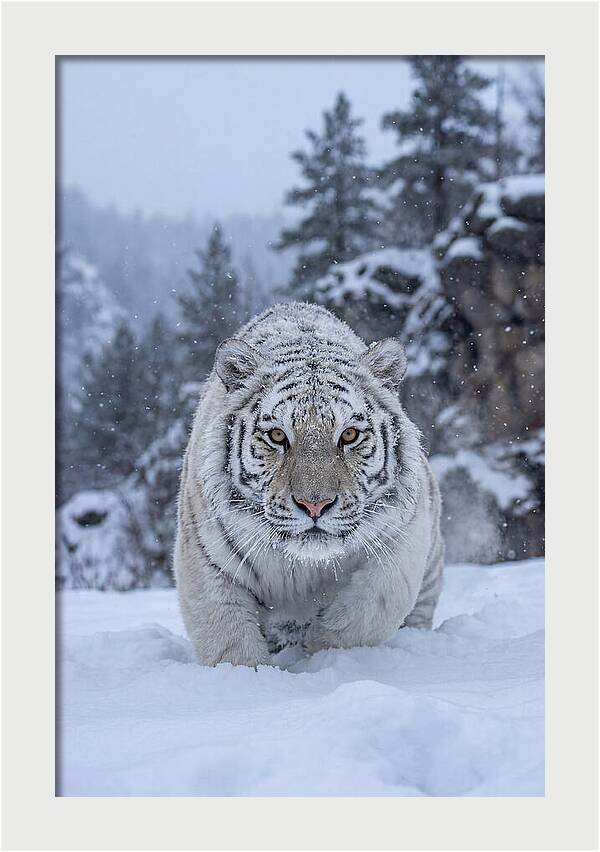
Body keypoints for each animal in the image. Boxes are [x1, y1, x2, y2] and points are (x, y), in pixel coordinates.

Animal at [174, 302, 444, 667]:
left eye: (349, 435)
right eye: (277, 436)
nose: (314, 505)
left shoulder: (402, 539)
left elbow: (369, 610)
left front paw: (322, 649)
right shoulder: (206, 560)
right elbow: (229, 640)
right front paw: (249, 675)